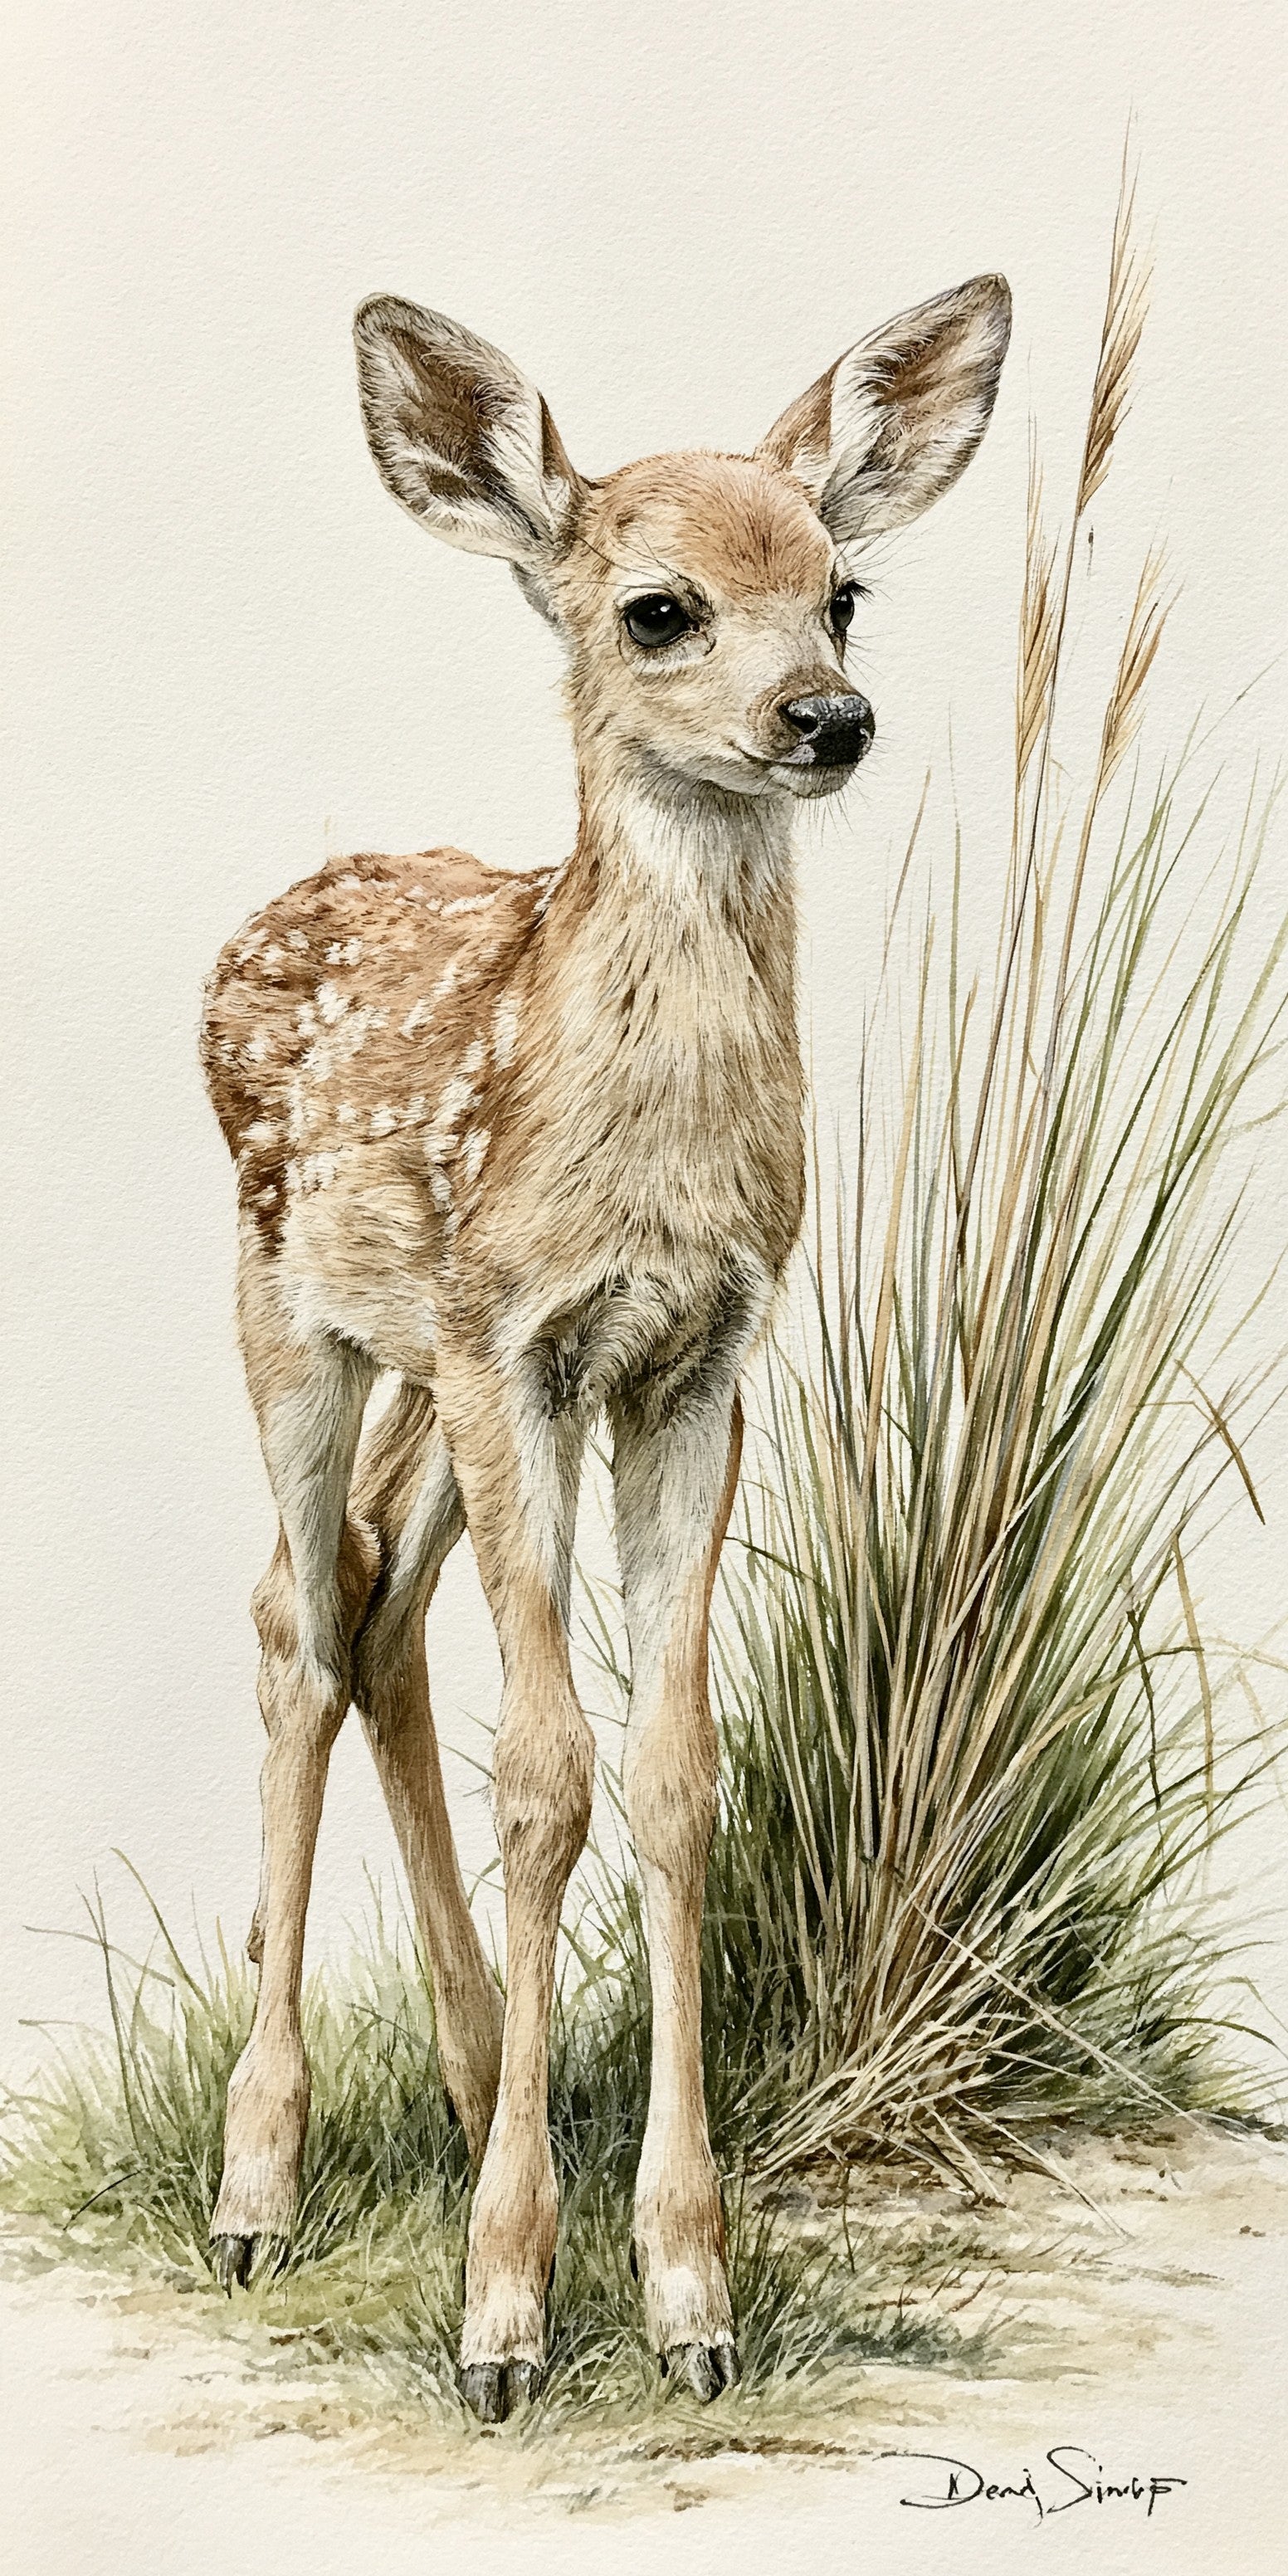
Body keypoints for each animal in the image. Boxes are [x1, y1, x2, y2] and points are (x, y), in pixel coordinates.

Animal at [200, 272, 1010, 2420]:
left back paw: (488, 2063)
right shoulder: (519, 1340)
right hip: (295, 1306)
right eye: (657, 608)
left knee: (374, 1597)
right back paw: (256, 2185)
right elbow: (548, 1767)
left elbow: (664, 1775)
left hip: (421, 1361)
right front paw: (500, 2312)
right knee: (298, 1618)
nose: (825, 720)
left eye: (842, 592)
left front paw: (684, 2295)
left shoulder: (695, 1356)